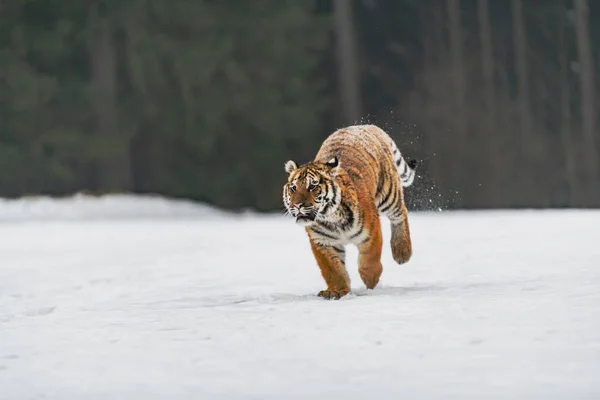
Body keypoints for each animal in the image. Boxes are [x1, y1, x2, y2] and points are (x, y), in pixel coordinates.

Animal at [282, 125, 418, 300]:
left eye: (312, 186)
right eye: (293, 188)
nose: (297, 205)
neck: (330, 218)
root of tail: (365, 126)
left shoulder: (371, 232)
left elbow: (369, 260)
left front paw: (371, 280)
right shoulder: (322, 242)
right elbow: (333, 270)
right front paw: (336, 291)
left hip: (389, 193)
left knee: (401, 213)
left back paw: (402, 252)